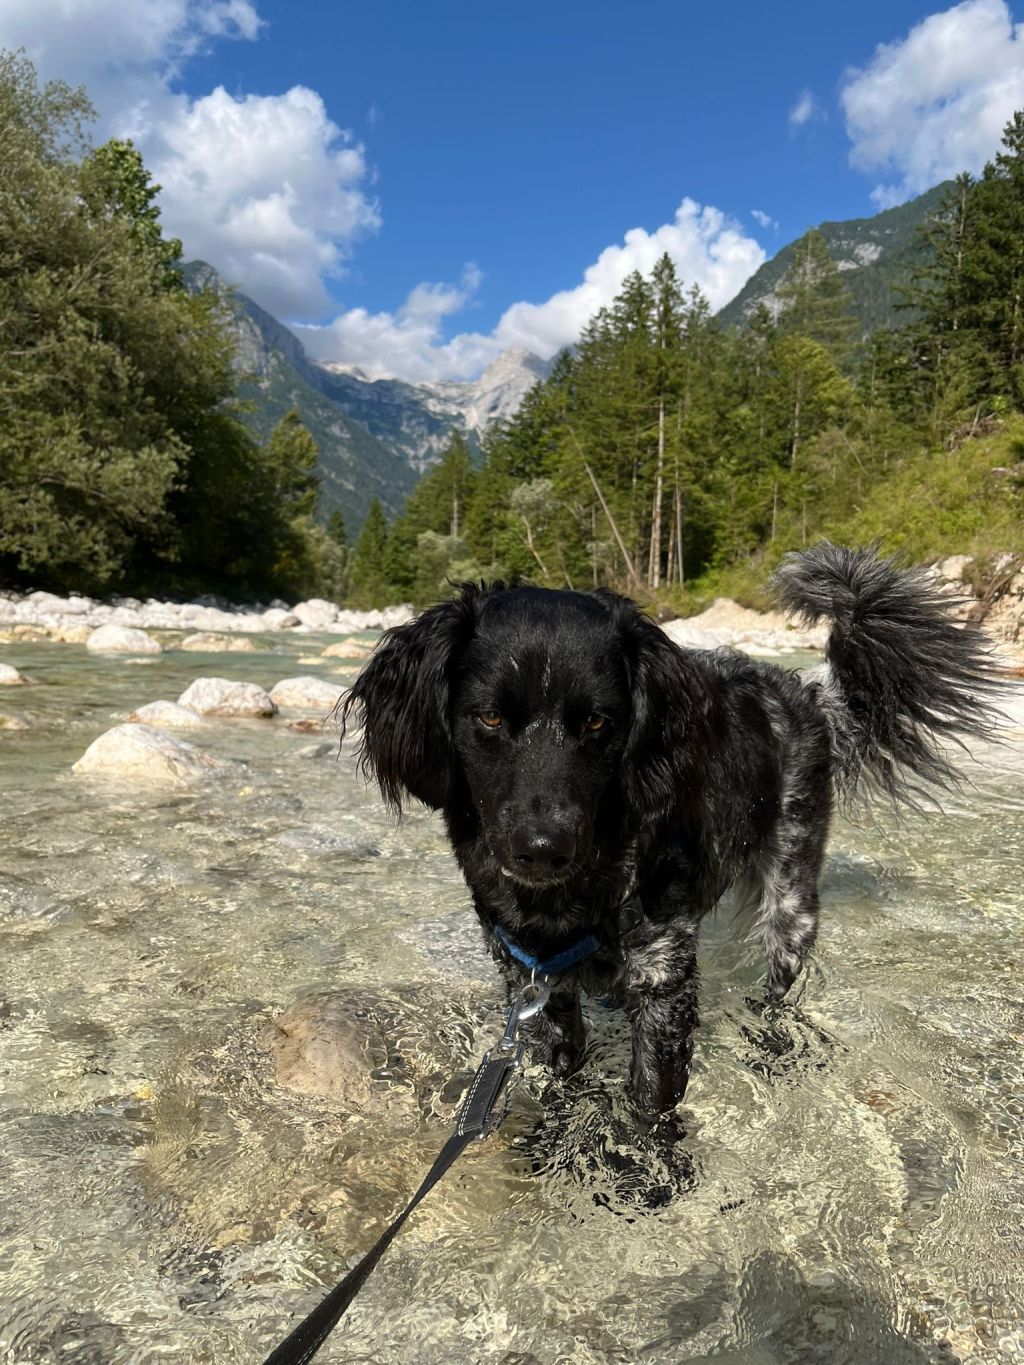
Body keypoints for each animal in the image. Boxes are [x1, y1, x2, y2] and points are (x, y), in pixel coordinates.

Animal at [342, 544, 1003, 1121]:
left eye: (598, 722)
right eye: (488, 717)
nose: (543, 850)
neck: (571, 903)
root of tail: (808, 693)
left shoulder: (665, 982)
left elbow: (649, 1108)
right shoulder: (535, 983)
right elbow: (562, 1079)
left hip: (791, 900)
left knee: (777, 988)